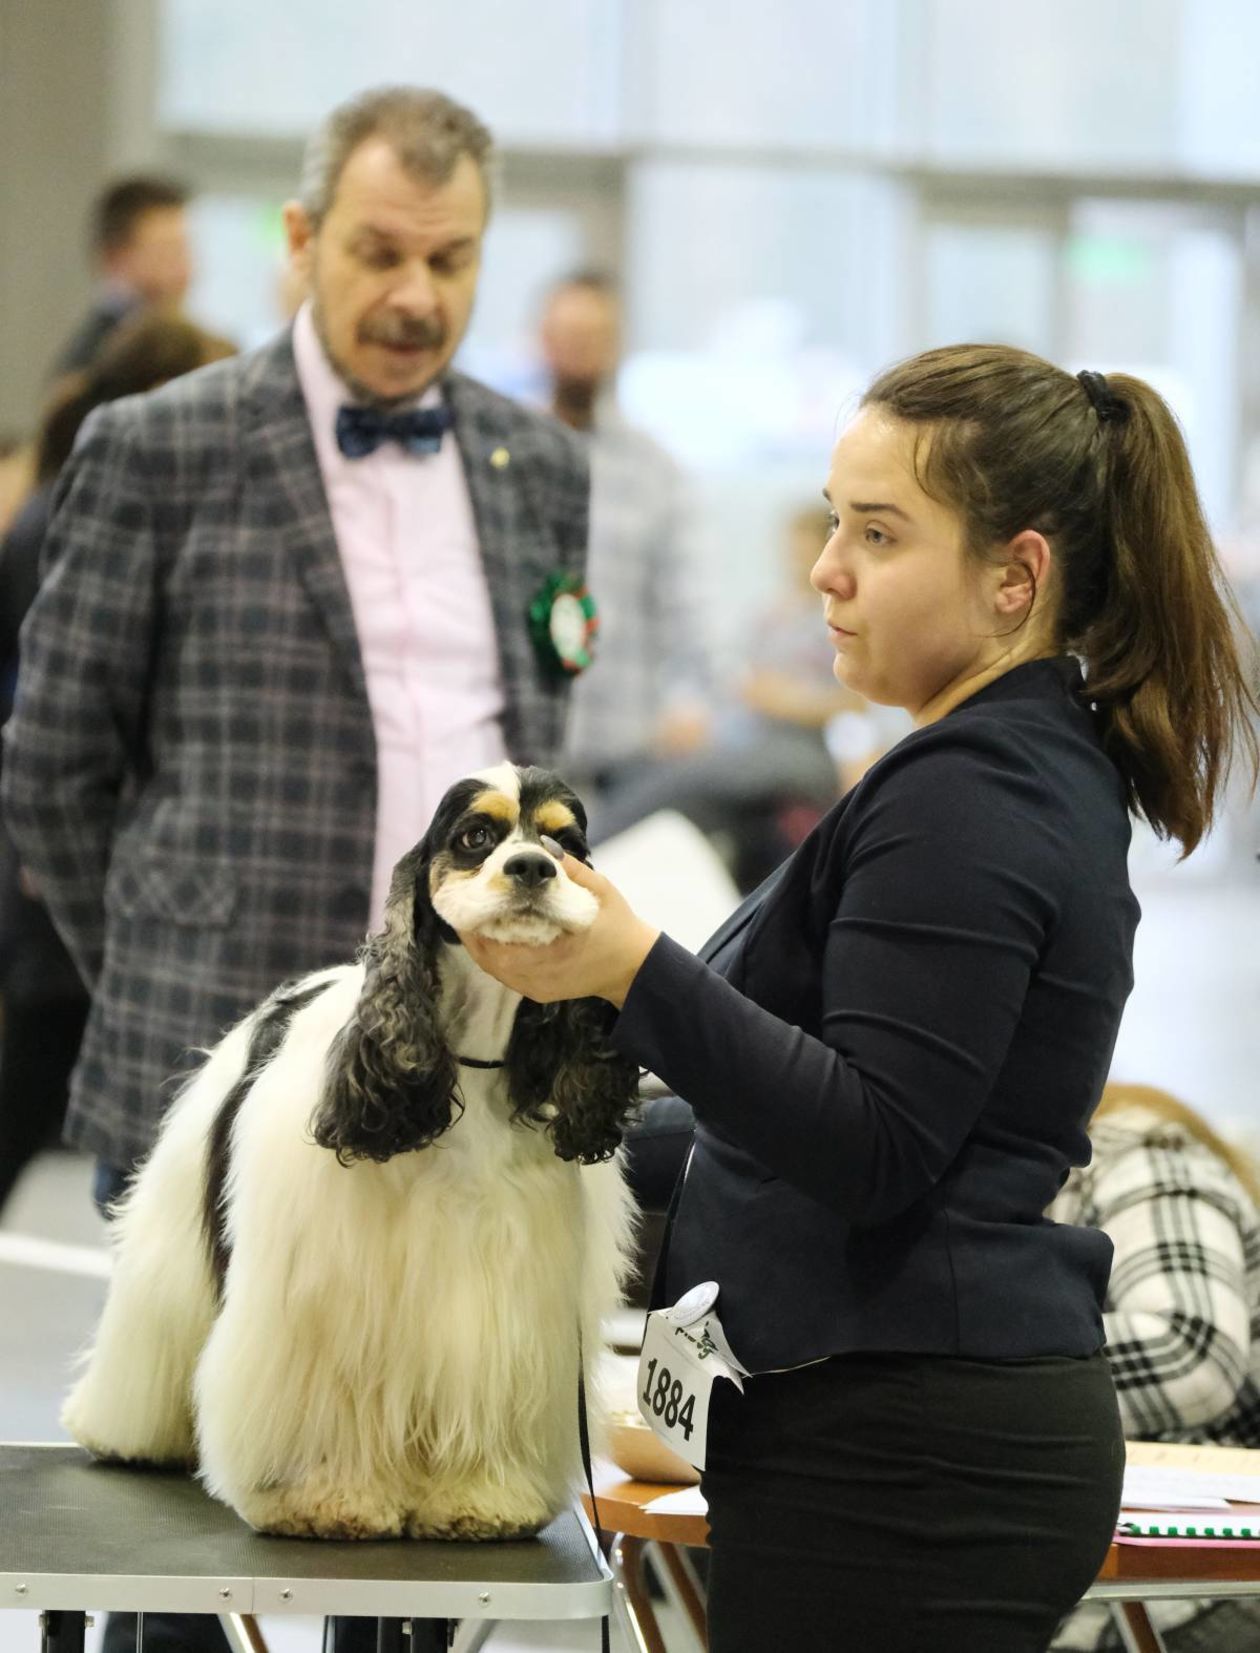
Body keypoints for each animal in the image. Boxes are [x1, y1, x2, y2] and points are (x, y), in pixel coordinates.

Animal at [63, 766, 638, 1540]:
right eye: (475, 836)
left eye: (565, 842)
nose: (531, 869)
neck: (468, 1059)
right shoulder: (324, 1296)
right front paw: (322, 1500)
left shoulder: (510, 1300)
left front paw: (480, 1500)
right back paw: (123, 1434)